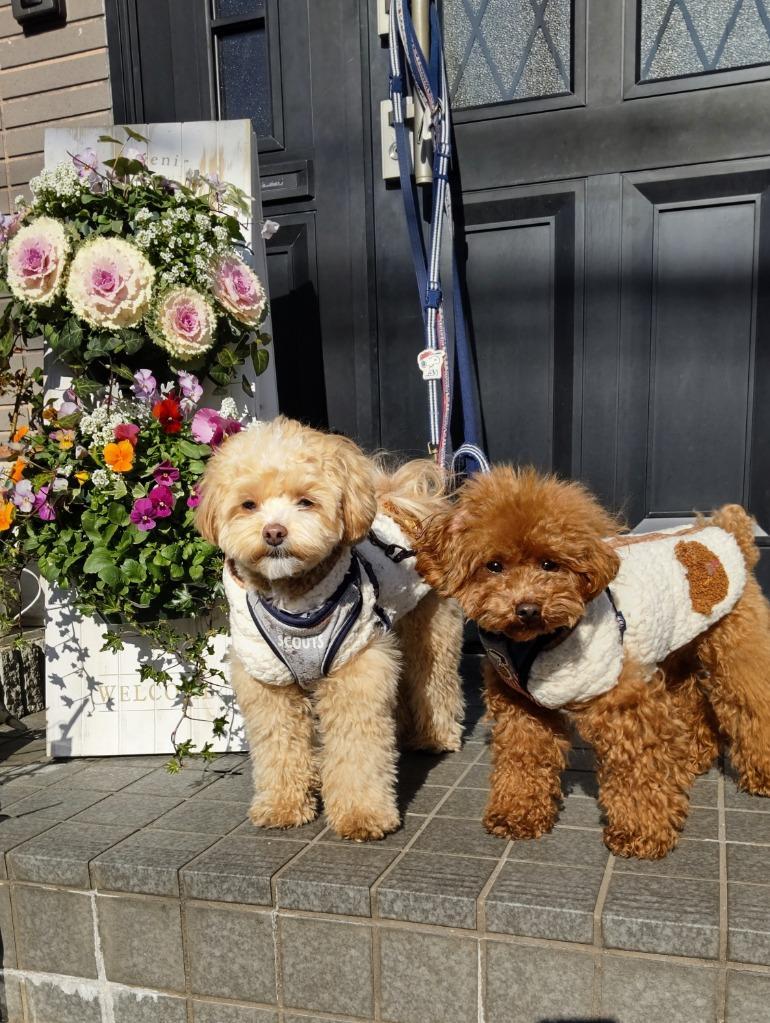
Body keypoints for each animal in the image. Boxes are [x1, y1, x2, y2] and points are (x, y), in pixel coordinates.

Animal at [417, 468, 768, 859]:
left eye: (550, 563)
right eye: (493, 566)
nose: (528, 609)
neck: (536, 644)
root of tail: (723, 531)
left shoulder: (621, 698)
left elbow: (637, 766)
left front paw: (641, 832)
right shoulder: (521, 705)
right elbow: (523, 757)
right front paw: (517, 814)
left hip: (736, 641)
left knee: (752, 699)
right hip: (677, 644)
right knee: (688, 698)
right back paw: (691, 757)